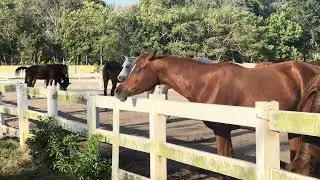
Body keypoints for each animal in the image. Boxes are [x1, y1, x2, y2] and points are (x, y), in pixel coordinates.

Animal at [115, 51, 320, 177]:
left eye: (140, 68)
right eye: (130, 67)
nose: (118, 90)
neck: (207, 82)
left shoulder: (222, 130)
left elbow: (225, 163)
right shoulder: (223, 131)